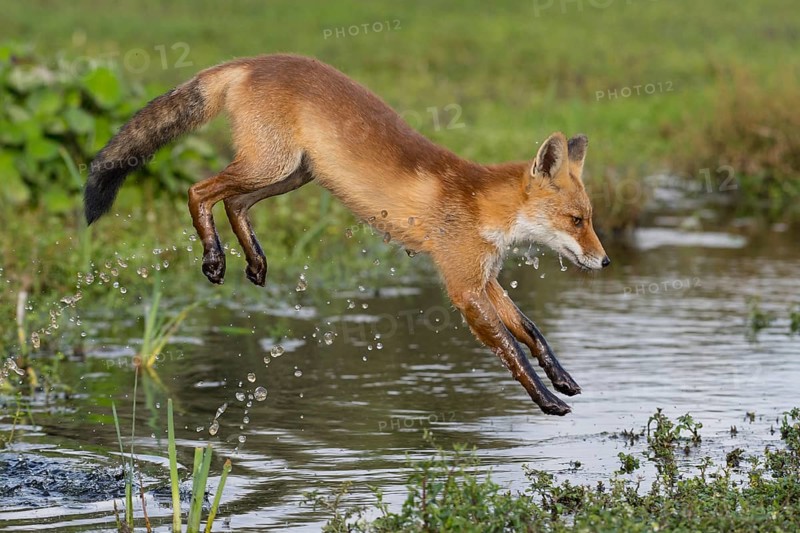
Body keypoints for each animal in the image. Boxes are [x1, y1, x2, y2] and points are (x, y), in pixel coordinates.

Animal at [84, 54, 610, 415]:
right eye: (577, 221)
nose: (605, 262)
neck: (480, 205)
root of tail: (254, 60)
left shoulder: (483, 277)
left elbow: (532, 330)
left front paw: (561, 378)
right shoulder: (463, 285)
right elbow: (510, 347)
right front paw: (546, 400)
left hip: (293, 173)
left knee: (233, 202)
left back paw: (253, 260)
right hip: (270, 165)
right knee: (199, 190)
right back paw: (214, 258)